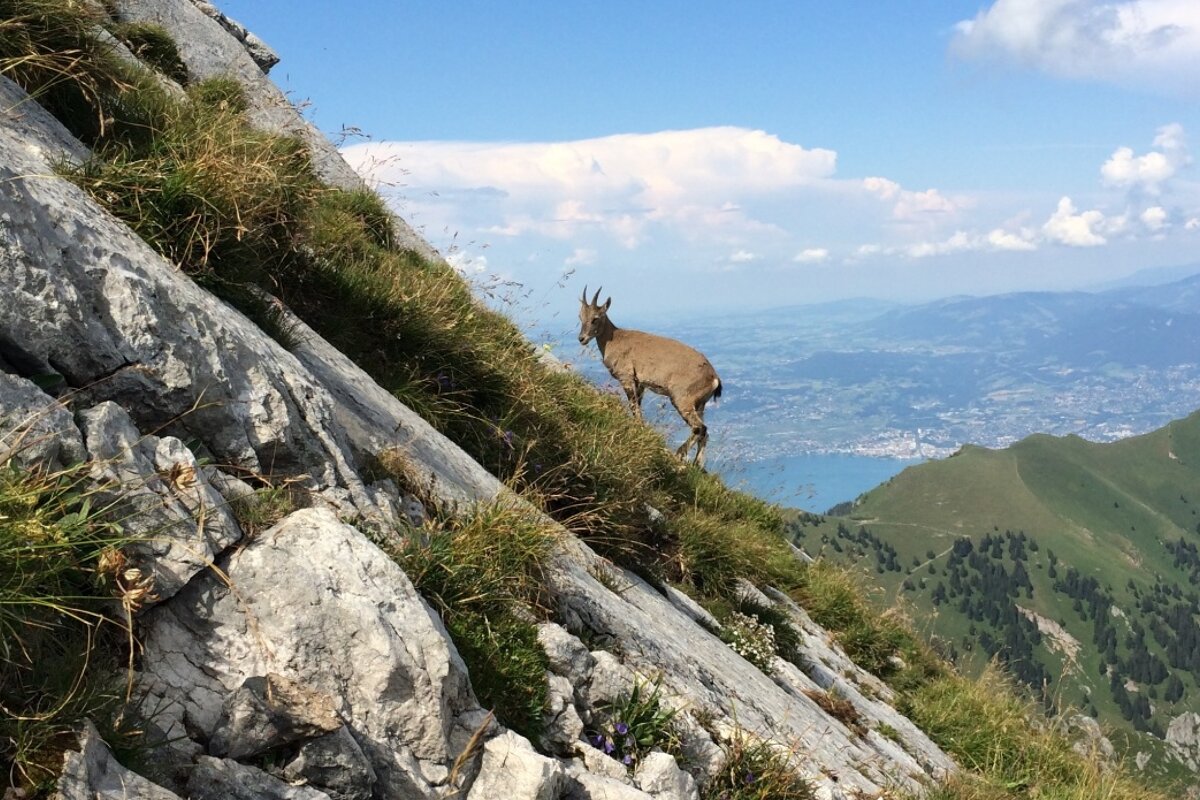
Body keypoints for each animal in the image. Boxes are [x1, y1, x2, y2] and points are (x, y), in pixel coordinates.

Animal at [578, 286, 722, 468]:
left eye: (595, 318)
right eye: (580, 316)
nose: (581, 338)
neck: (614, 339)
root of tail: (714, 378)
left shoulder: (626, 378)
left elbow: (634, 407)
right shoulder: (639, 384)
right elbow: (637, 409)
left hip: (682, 398)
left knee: (700, 428)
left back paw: (679, 454)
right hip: (700, 404)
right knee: (704, 433)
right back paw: (698, 466)